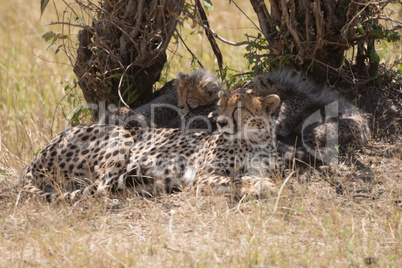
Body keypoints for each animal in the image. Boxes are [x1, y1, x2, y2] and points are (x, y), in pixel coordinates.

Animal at [20, 89, 280, 202]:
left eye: (239, 108)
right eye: (221, 106)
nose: (220, 122)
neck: (255, 141)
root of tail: (34, 159)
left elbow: (253, 177)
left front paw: (267, 186)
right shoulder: (203, 176)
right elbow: (235, 180)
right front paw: (256, 188)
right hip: (119, 134)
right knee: (100, 187)